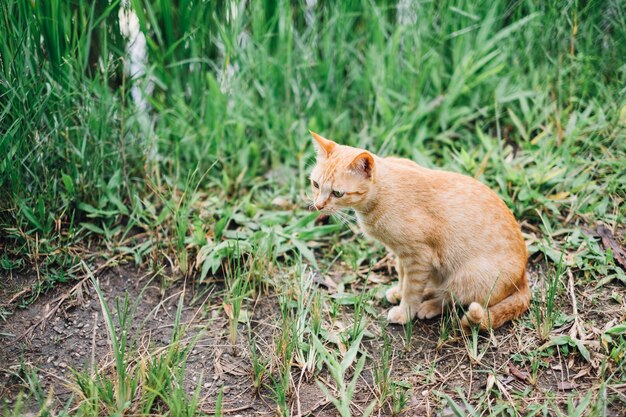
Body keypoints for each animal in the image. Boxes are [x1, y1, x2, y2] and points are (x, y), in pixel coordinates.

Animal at [308, 132, 528, 330]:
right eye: (315, 184)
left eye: (338, 193)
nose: (318, 206)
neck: (383, 193)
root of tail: (523, 277)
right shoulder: (401, 254)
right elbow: (402, 276)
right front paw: (398, 292)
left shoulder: (419, 256)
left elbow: (412, 289)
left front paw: (405, 312)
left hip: (465, 277)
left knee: (451, 300)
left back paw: (429, 305)